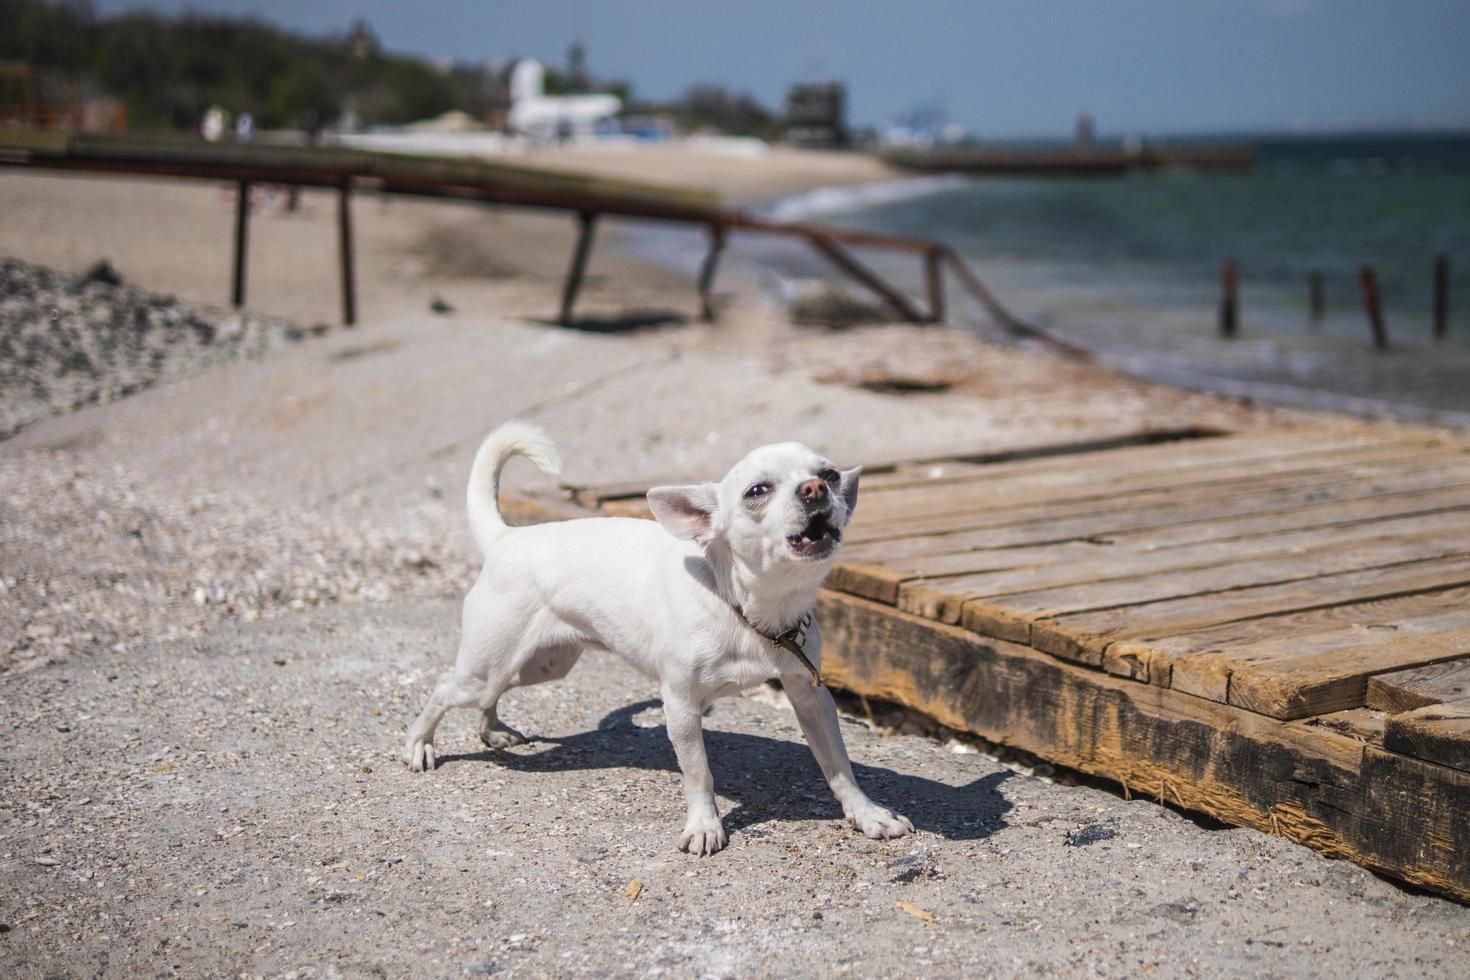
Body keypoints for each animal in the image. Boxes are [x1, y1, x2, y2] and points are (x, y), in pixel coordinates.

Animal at [402, 417, 905, 852]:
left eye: (830, 474)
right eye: (757, 491)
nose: (816, 487)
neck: (751, 608)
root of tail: (506, 538)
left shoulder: (810, 697)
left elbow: (838, 765)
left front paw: (867, 815)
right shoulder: (680, 706)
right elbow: (699, 773)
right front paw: (705, 827)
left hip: (539, 666)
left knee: (491, 694)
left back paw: (491, 730)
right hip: (487, 665)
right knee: (444, 689)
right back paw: (419, 745)